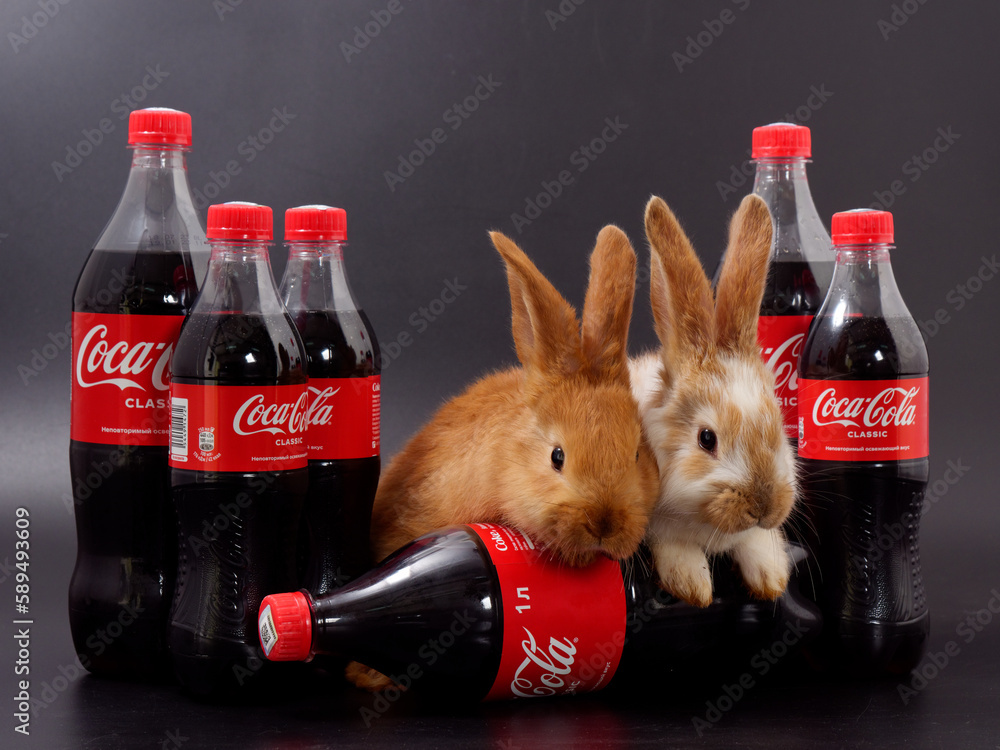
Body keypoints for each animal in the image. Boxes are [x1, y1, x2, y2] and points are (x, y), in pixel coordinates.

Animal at [628, 194, 798, 609]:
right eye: (707, 439)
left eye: (777, 429)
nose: (763, 506)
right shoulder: (657, 524)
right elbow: (674, 547)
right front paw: (692, 585)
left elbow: (756, 542)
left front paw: (771, 578)